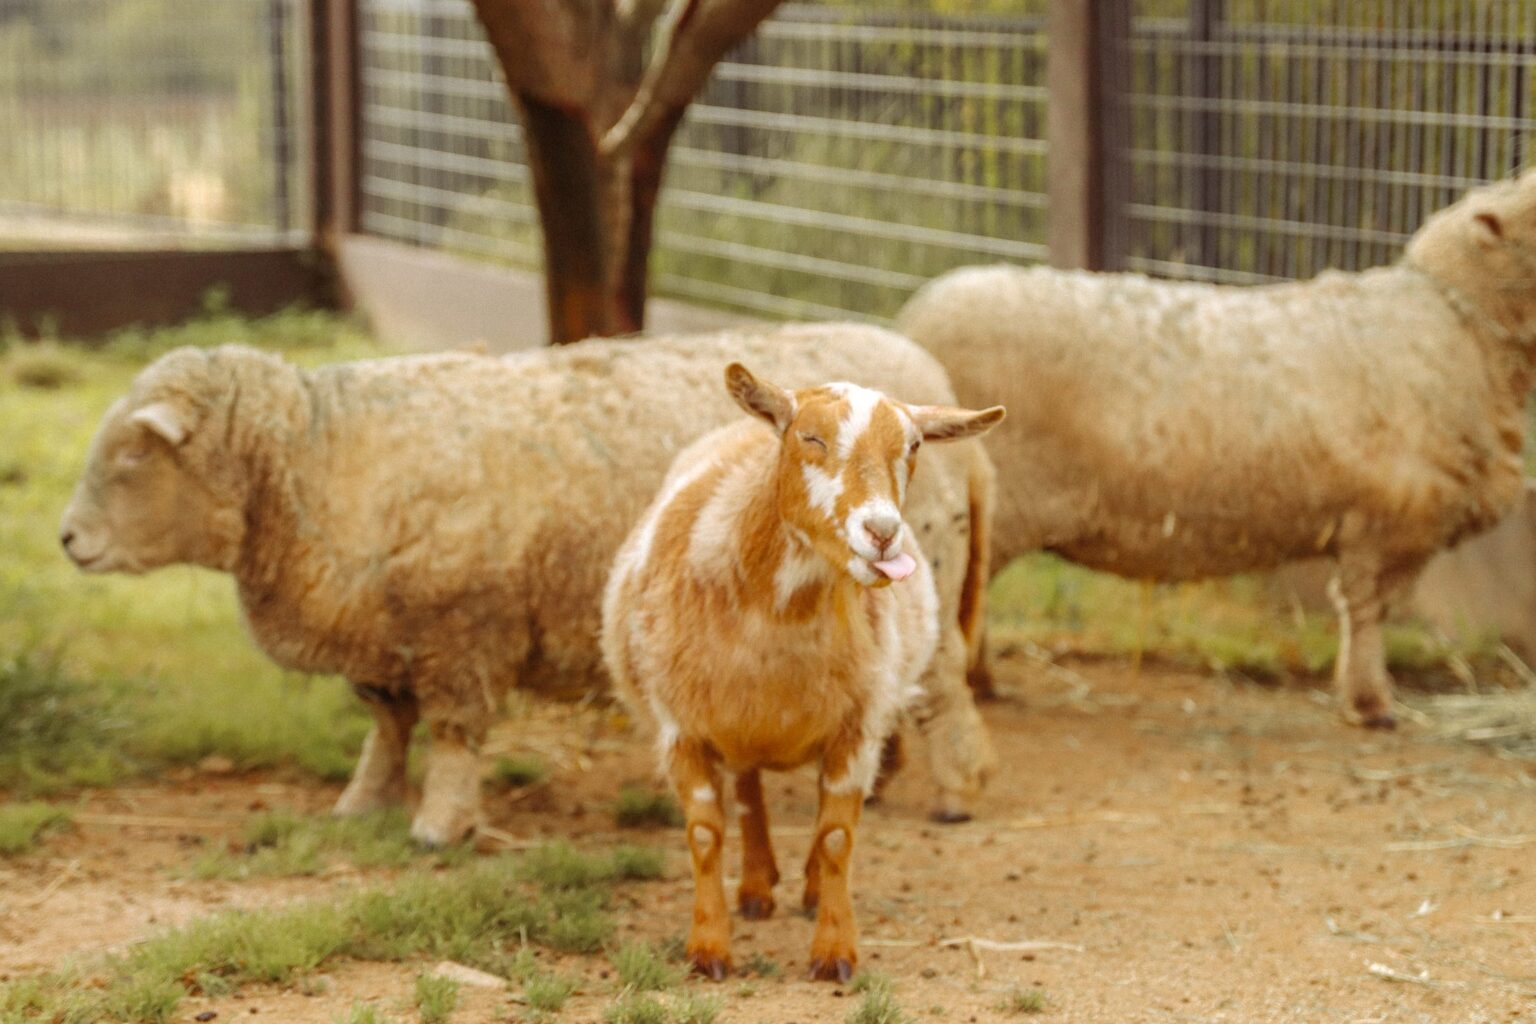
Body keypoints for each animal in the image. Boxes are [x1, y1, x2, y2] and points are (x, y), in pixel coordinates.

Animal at [59, 324, 1000, 846]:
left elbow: (451, 735)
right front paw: (362, 804)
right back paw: (877, 780)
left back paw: (954, 797)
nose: (67, 539)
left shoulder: (460, 633)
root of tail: (933, 392)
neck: (316, 457)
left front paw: (439, 827)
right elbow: (385, 729)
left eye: (134, 454)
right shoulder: (384, 639)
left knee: (945, 691)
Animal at [601, 363, 1002, 980]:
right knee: (748, 795)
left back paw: (805, 890)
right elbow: (705, 835)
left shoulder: (858, 728)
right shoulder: (680, 730)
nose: (882, 531)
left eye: (912, 446)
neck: (779, 617)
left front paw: (834, 950)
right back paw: (756, 889)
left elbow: (836, 836)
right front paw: (708, 948)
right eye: (811, 438)